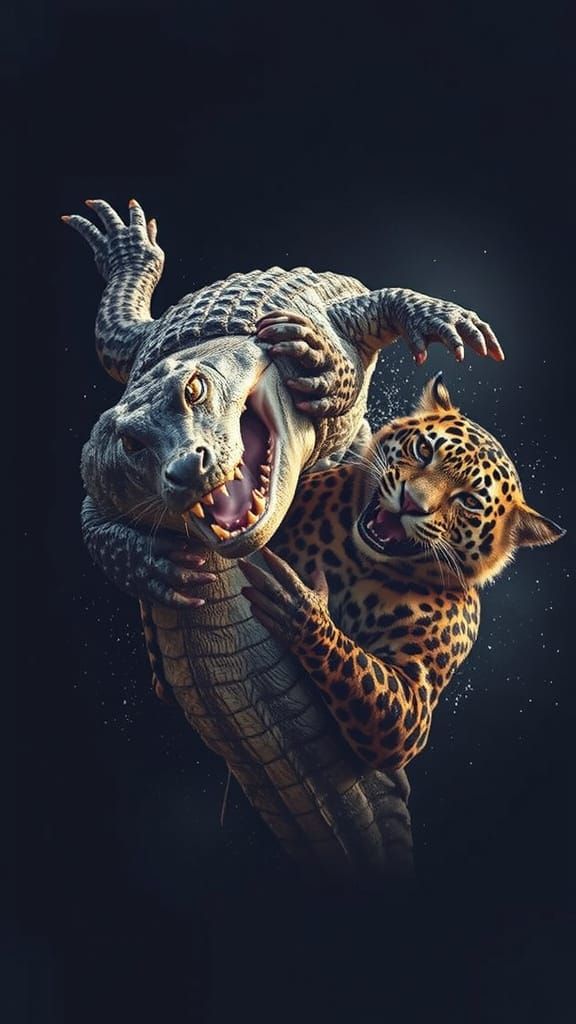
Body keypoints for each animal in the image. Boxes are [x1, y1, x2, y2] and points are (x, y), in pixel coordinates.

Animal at [240, 373, 565, 771]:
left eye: (469, 501)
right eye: (425, 450)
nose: (412, 502)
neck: (359, 563)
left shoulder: (413, 705)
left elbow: (354, 665)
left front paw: (301, 609)